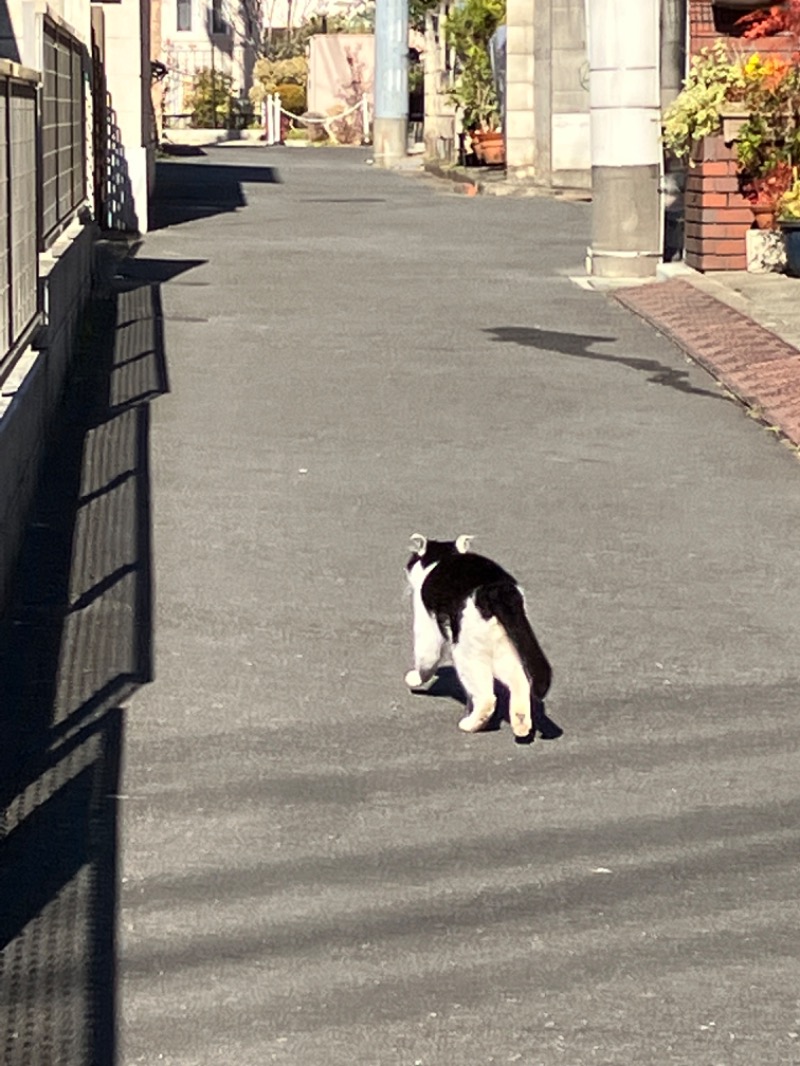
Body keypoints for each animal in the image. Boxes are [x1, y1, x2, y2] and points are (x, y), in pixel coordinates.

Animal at [407, 533, 550, 741]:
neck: (443, 557)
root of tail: (496, 590)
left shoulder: (426, 623)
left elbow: (426, 659)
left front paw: (415, 679)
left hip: (467, 654)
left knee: (487, 698)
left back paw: (470, 724)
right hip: (504, 650)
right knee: (520, 682)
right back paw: (521, 725)